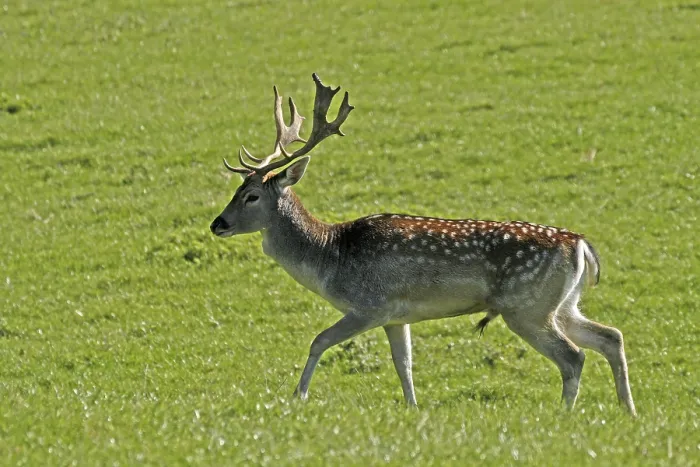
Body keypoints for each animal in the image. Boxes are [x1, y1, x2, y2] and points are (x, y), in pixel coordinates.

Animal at [210, 73, 636, 415]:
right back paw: (627, 409)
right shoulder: (397, 316)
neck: (330, 258)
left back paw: (565, 414)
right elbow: (405, 364)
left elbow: (318, 341)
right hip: (560, 304)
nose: (218, 224)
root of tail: (580, 245)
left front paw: (296, 397)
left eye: (251, 196)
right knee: (610, 337)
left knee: (574, 356)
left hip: (526, 306)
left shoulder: (370, 305)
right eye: (236, 190)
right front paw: (413, 408)